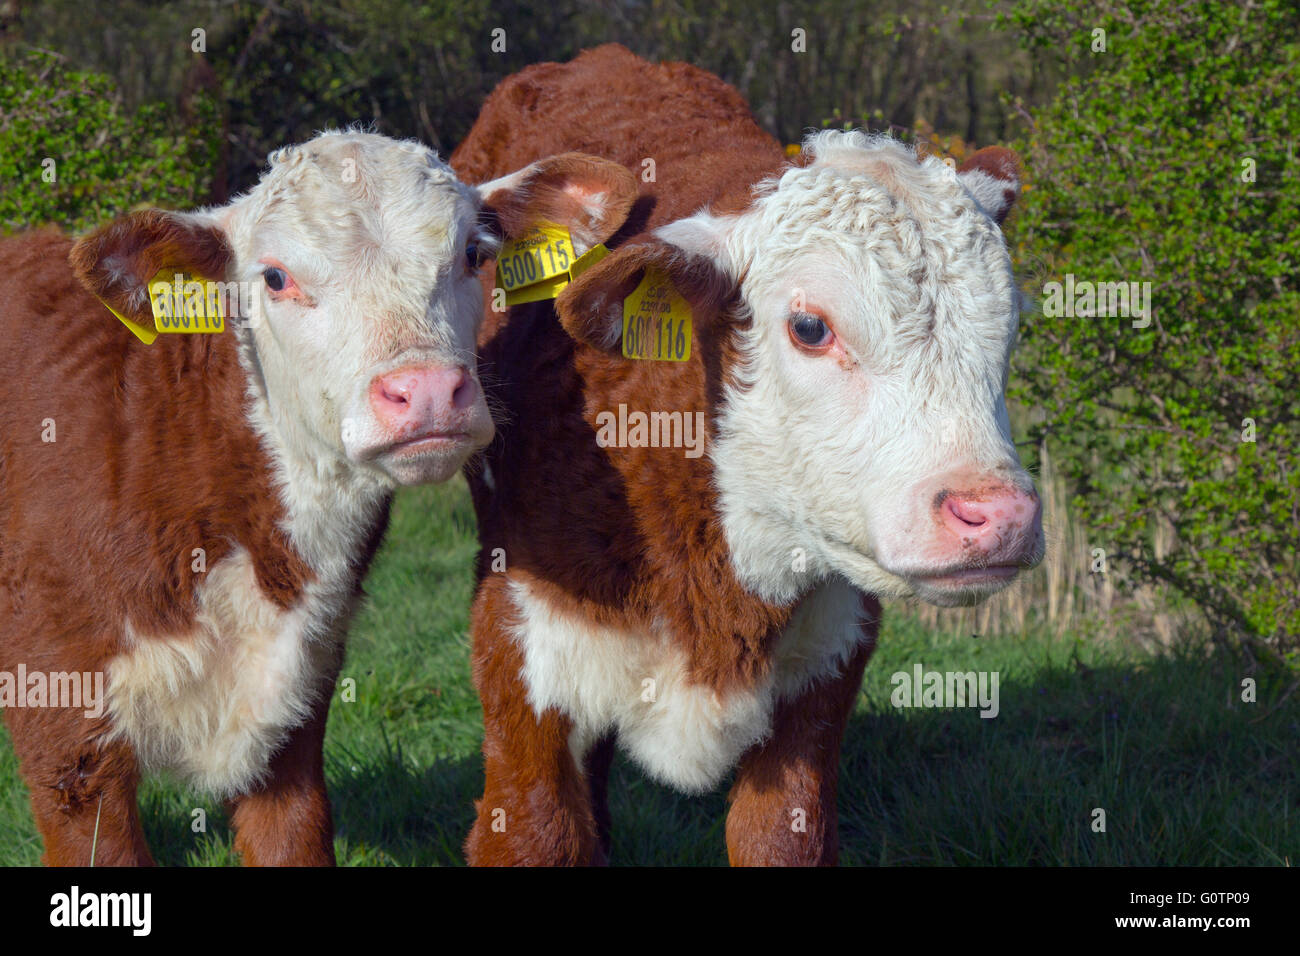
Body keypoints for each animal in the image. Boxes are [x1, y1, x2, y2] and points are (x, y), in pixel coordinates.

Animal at [0, 128, 624, 868]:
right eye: (274, 277)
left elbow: (292, 836)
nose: (427, 391)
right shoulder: (63, 721)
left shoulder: (296, 701)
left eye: (474, 253)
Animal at [452, 46, 1040, 868]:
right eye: (810, 327)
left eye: (1013, 322)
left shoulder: (827, 663)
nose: (998, 513)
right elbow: (541, 829)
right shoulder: (521, 646)